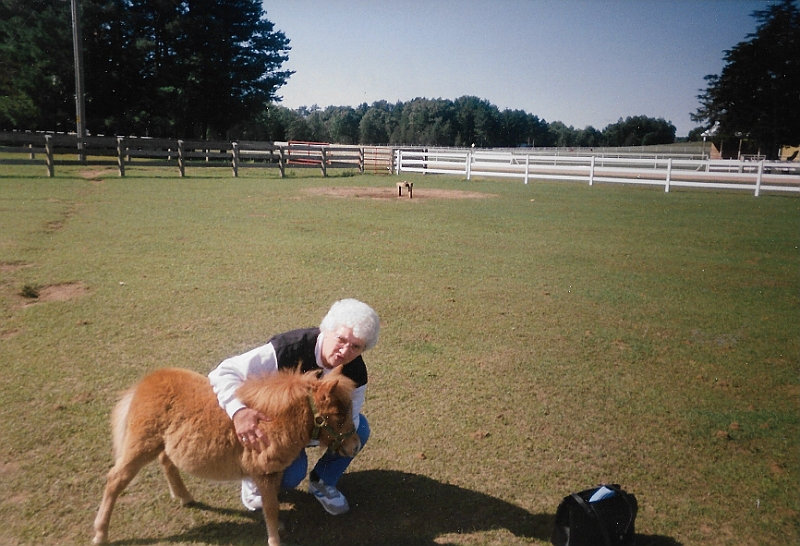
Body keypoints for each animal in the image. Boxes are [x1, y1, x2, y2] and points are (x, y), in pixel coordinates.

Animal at [92, 366, 358, 544]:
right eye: (339, 415)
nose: (354, 446)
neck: (271, 421)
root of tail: (147, 381)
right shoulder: (263, 473)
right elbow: (271, 507)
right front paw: (274, 539)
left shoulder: (273, 472)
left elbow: (272, 502)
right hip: (141, 445)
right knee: (115, 479)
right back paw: (100, 533)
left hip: (164, 445)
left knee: (167, 461)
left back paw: (185, 497)